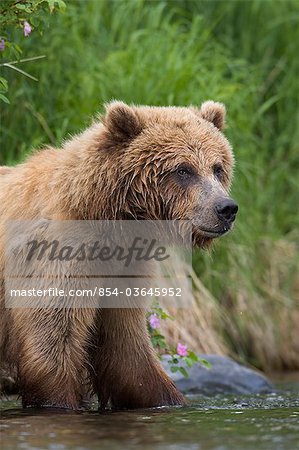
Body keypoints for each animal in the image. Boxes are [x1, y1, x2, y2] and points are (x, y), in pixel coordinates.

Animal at [0, 100, 239, 410]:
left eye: (217, 167)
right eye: (183, 170)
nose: (226, 208)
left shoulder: (125, 268)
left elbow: (128, 351)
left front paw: (169, 399)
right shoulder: (60, 255)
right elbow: (54, 337)